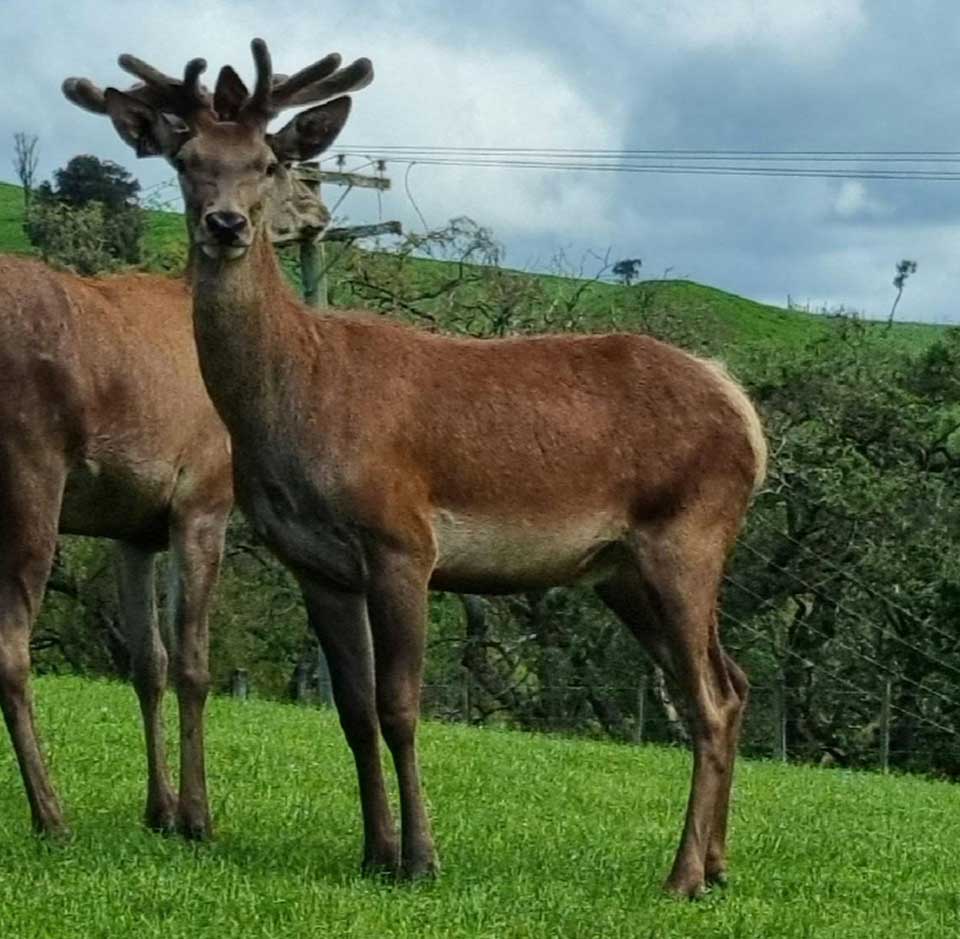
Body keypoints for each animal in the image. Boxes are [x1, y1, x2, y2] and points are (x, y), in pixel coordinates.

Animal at [0, 65, 336, 843]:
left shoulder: (132, 525)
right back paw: (50, 813)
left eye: (266, 159)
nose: (318, 209)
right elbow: (193, 663)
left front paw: (157, 808)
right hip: (28, 466)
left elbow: (146, 663)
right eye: (189, 164)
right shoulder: (203, 496)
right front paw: (198, 817)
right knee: (11, 645)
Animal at [66, 40, 767, 898]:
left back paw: (680, 875)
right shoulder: (316, 562)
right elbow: (353, 710)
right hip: (624, 569)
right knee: (731, 682)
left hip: (687, 533)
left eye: (267, 161)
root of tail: (743, 411)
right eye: (188, 160)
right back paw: (718, 864)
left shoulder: (402, 538)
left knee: (707, 698)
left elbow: (401, 705)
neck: (301, 399)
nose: (225, 224)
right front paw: (375, 851)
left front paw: (422, 858)